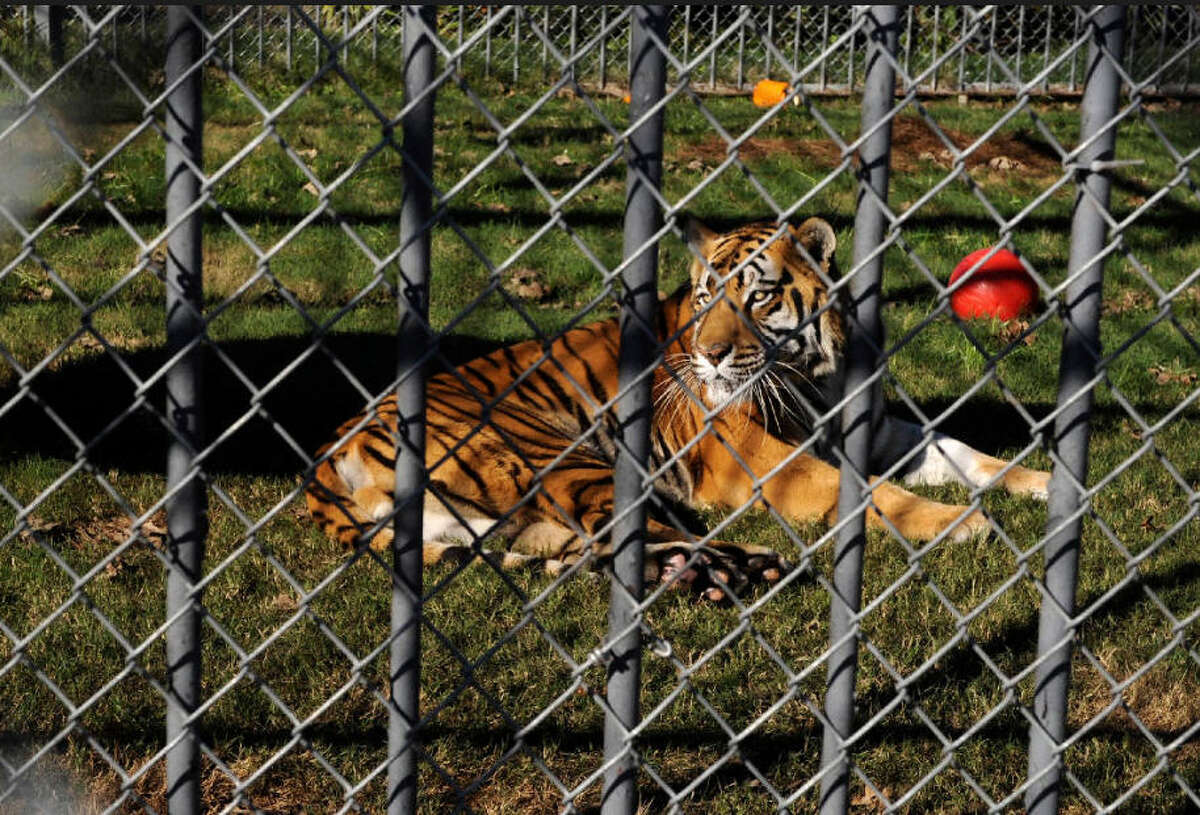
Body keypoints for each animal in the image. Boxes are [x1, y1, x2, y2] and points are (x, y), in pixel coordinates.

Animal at [306, 216, 1050, 600]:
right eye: (704, 297)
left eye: (758, 295)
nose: (711, 355)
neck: (820, 374)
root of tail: (329, 452)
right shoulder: (767, 465)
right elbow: (873, 493)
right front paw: (964, 523)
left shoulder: (880, 428)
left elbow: (969, 453)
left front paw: (1043, 481)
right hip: (564, 456)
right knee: (632, 535)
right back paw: (732, 572)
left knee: (581, 548)